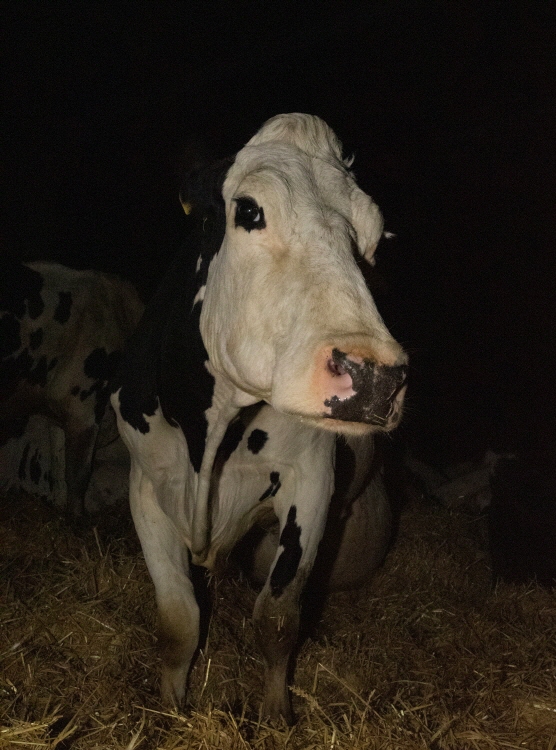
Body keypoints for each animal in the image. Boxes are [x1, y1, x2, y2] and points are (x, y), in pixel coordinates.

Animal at [110, 113, 408, 723]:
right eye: (249, 210)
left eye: (373, 239)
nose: (375, 377)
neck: (209, 438)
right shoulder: (145, 484)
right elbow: (179, 619)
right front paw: (172, 708)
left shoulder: (310, 480)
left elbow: (276, 617)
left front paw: (276, 717)